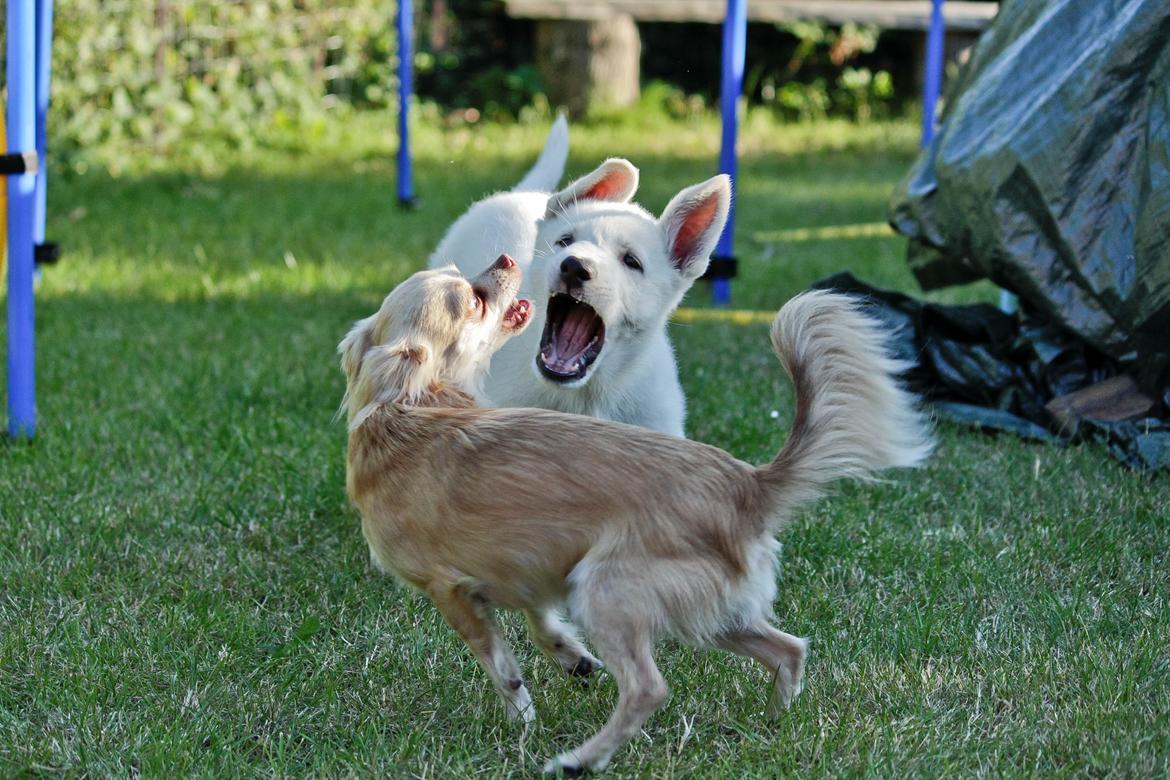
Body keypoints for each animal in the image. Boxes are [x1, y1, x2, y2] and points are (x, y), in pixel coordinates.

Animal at [339, 257, 931, 776]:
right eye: (472, 298)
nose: (506, 259)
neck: (403, 406)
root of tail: (747, 484)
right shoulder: (535, 570)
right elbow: (540, 623)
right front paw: (571, 657)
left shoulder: (451, 591)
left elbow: (502, 666)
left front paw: (523, 718)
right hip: (713, 613)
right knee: (789, 650)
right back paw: (773, 724)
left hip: (606, 591)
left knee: (649, 689)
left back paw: (579, 761)